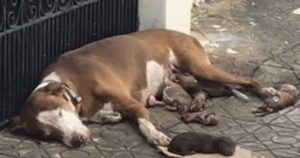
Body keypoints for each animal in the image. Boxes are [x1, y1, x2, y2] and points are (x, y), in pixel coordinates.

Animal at [9, 29, 264, 148]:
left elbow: (143, 121)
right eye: (49, 135)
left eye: (61, 113)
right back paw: (198, 102)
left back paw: (266, 92)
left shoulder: (132, 103)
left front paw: (155, 135)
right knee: (203, 89)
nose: (77, 140)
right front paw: (109, 117)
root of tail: (186, 35)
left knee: (245, 80)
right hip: (191, 77)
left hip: (199, 66)